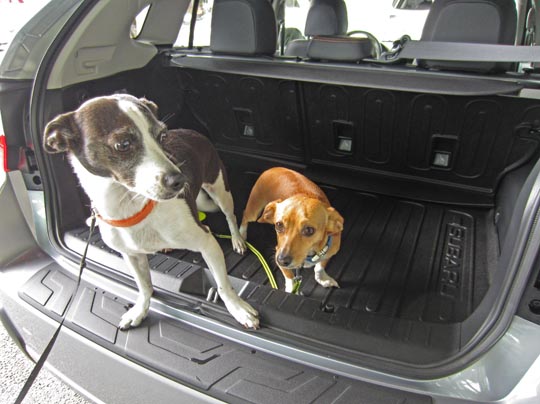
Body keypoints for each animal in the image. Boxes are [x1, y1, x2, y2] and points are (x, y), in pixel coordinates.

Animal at [44, 96, 260, 330]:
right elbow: (144, 285)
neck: (130, 207)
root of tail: (192, 131)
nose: (180, 180)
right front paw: (140, 310)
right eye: (123, 144)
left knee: (231, 216)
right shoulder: (131, 255)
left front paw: (238, 309)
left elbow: (223, 286)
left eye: (162, 136)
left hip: (219, 188)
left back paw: (237, 239)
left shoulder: (207, 243)